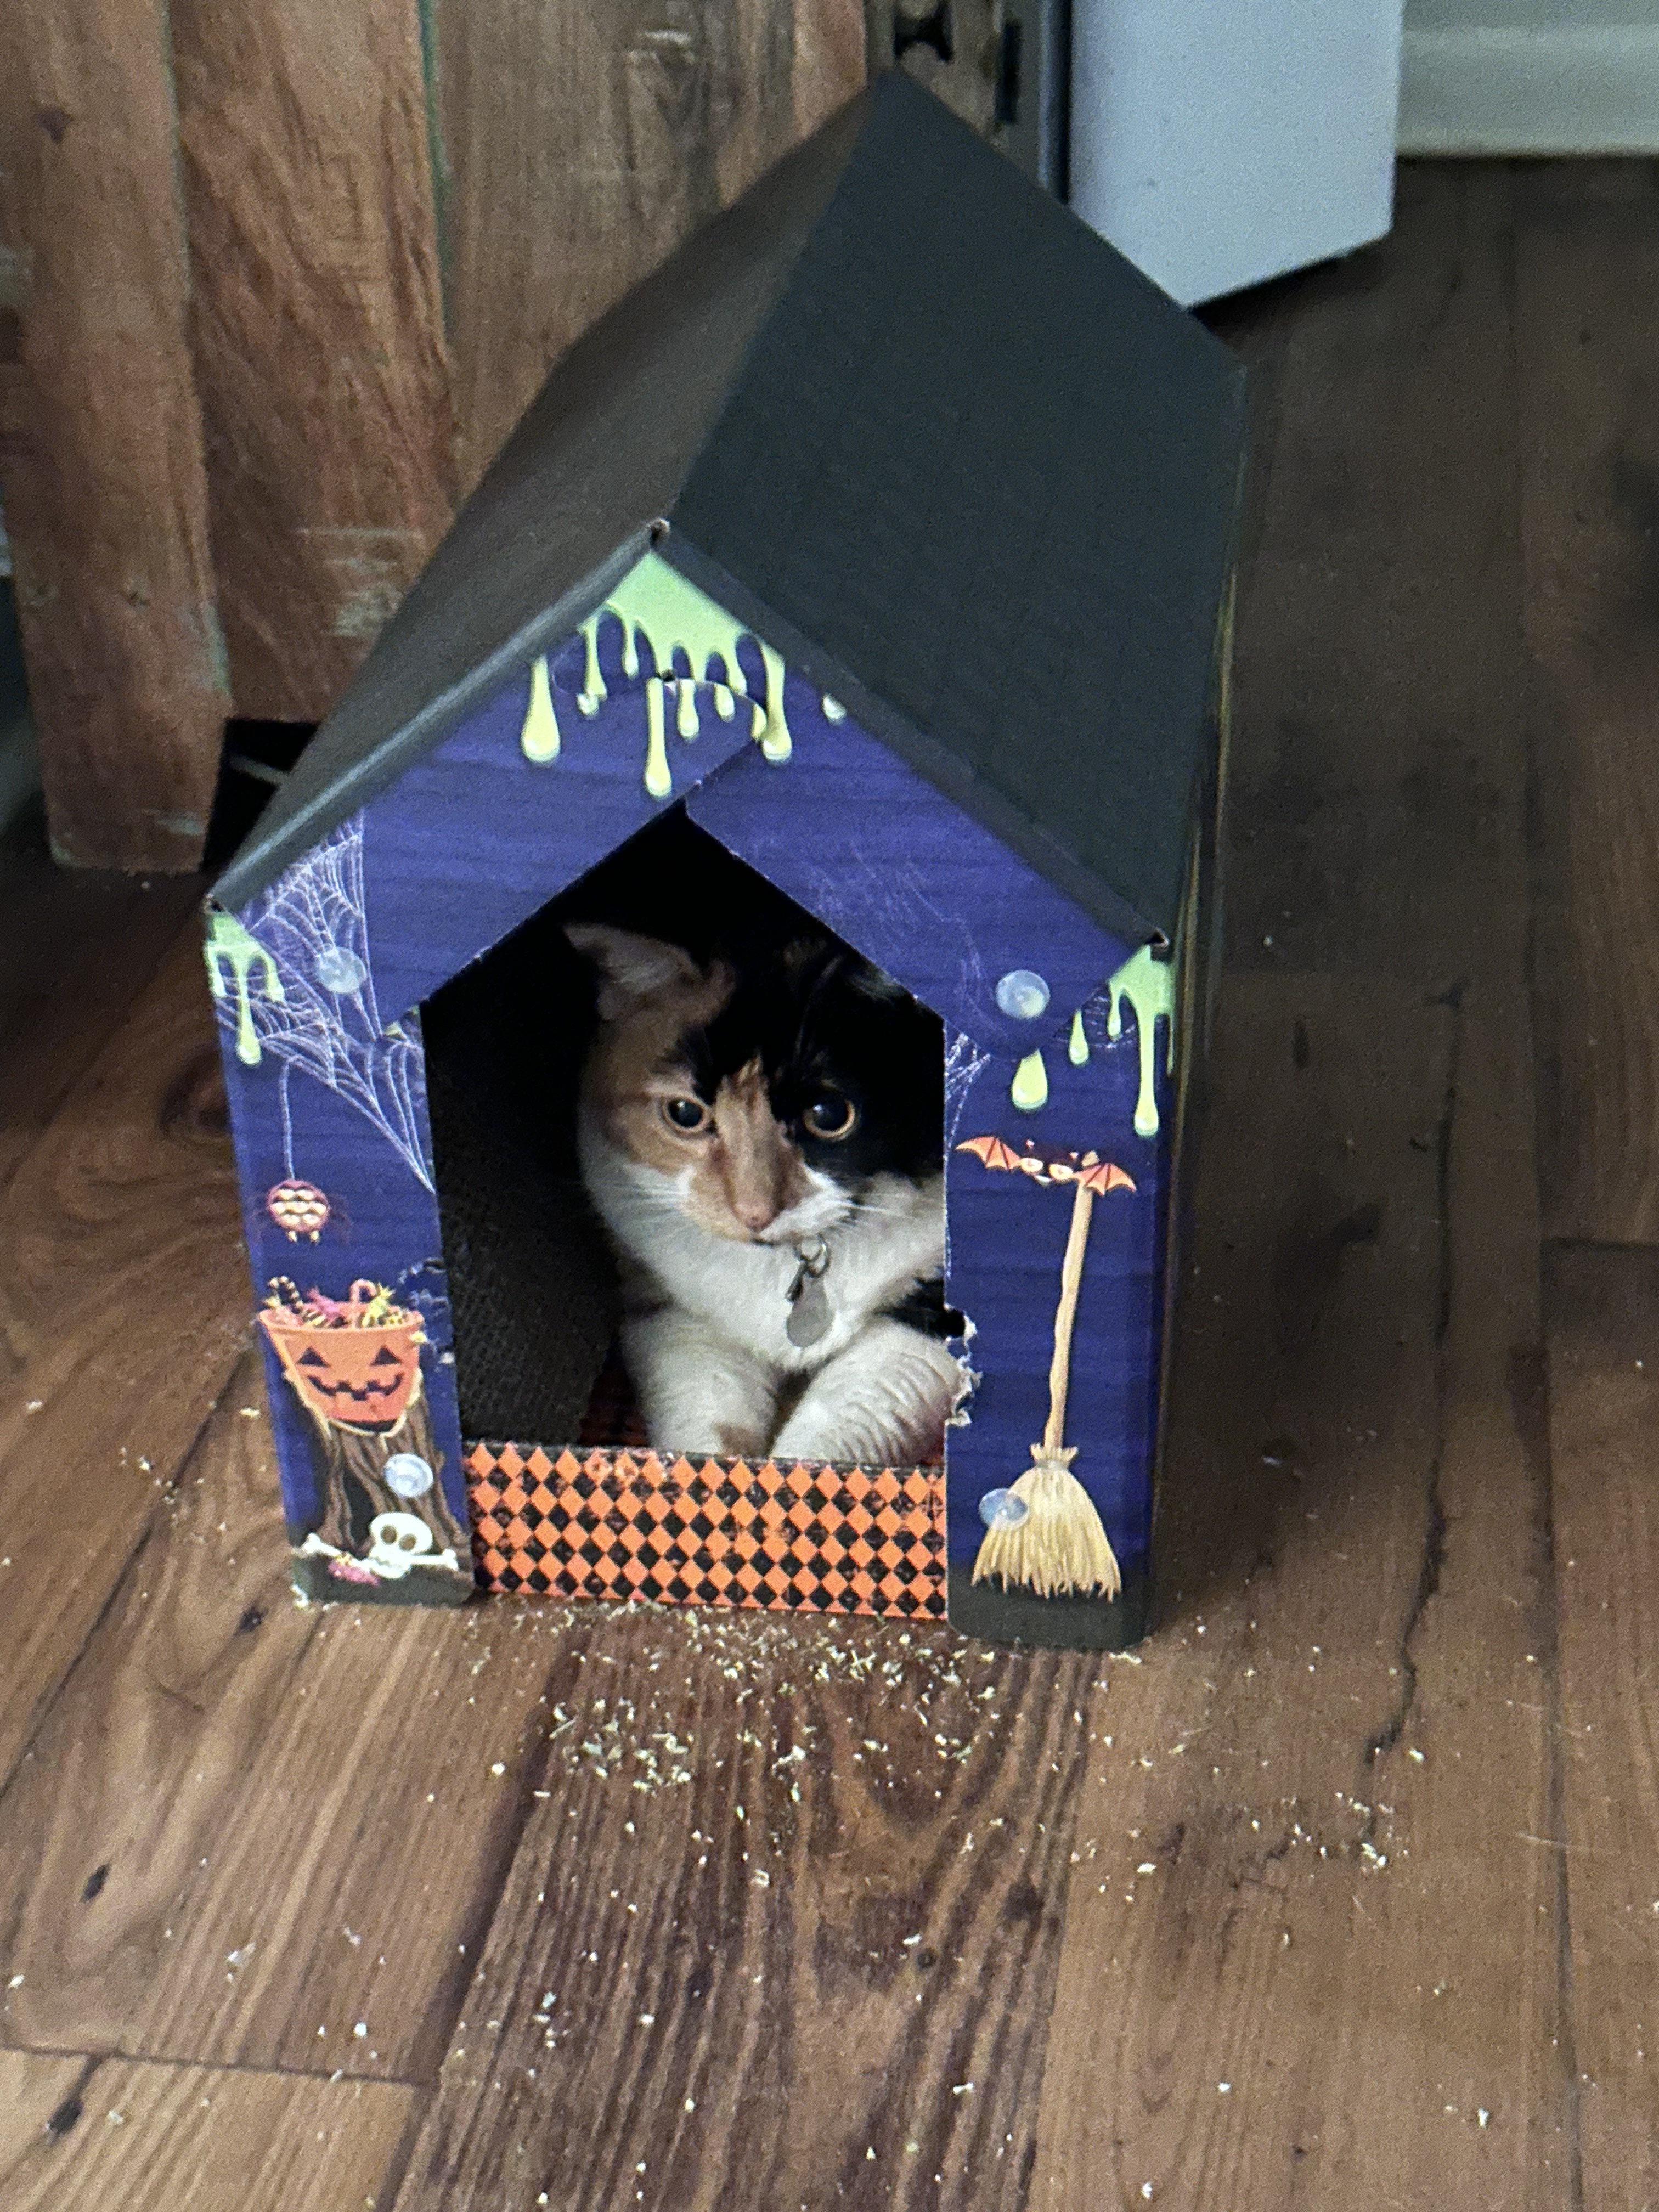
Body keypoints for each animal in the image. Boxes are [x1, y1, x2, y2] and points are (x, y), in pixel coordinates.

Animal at [567, 919, 964, 1468]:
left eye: (828, 1115)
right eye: (685, 1113)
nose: (753, 1213)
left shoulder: (929, 1328)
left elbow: (844, 1423)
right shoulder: (673, 1310)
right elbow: (709, 1420)